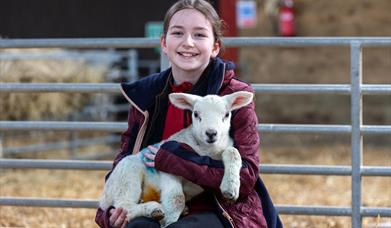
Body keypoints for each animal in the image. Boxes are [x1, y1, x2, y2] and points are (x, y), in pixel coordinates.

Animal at [99, 90, 256, 226]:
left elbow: (233, 153)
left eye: (227, 114)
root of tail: (103, 198)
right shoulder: (165, 168)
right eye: (196, 114)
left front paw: (231, 187)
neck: (207, 151)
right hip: (126, 176)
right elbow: (177, 199)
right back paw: (154, 209)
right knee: (123, 206)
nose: (211, 133)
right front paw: (168, 222)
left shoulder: (225, 147)